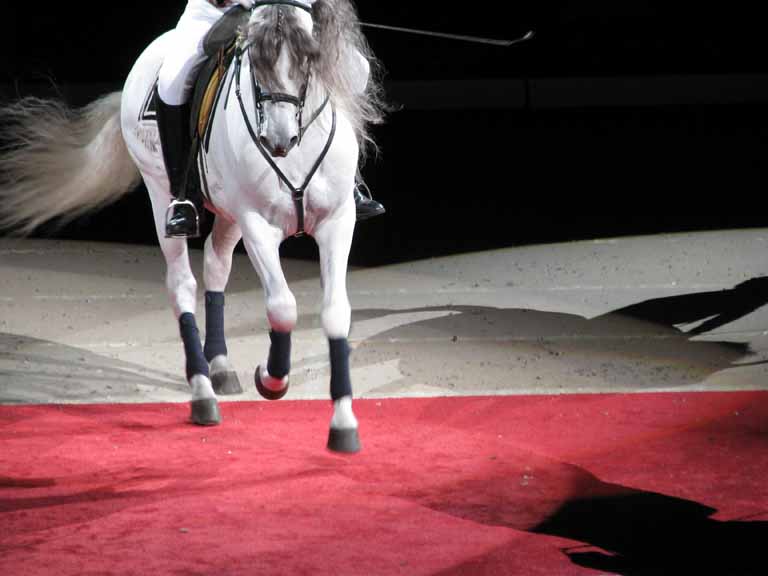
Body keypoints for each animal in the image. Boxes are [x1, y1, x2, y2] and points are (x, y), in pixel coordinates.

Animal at [0, 0, 384, 454]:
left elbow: (336, 312)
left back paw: (219, 366)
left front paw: (343, 424)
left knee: (216, 269)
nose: (279, 141)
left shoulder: (337, 223)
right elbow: (282, 307)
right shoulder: (258, 225)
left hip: (229, 215)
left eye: (310, 56)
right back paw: (203, 393)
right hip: (162, 192)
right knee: (181, 284)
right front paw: (272, 379)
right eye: (254, 61)